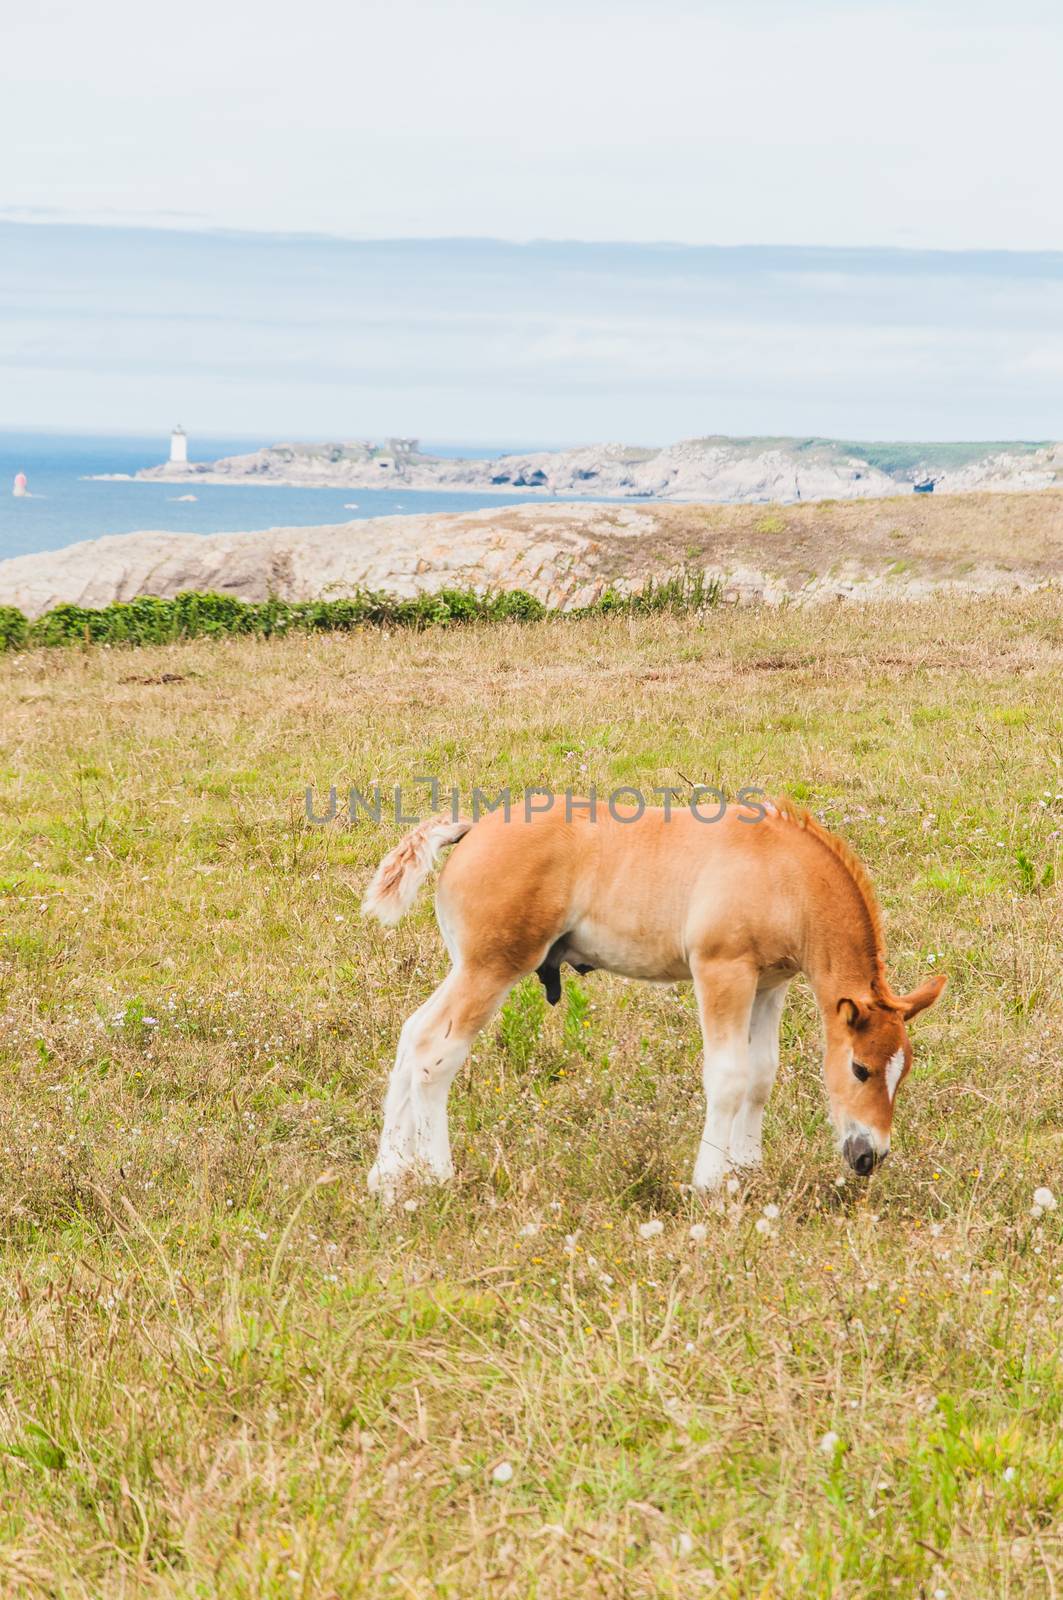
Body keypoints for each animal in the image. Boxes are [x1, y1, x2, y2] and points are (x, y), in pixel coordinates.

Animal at [361, 800, 941, 1203]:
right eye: (860, 1068)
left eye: (904, 1073)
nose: (869, 1156)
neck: (783, 874)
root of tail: (474, 828)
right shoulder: (722, 971)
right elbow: (728, 1078)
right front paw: (710, 1184)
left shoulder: (768, 985)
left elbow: (760, 1076)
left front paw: (746, 1171)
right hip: (490, 969)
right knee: (436, 1052)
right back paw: (438, 1174)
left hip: (467, 967)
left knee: (411, 1035)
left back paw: (387, 1174)